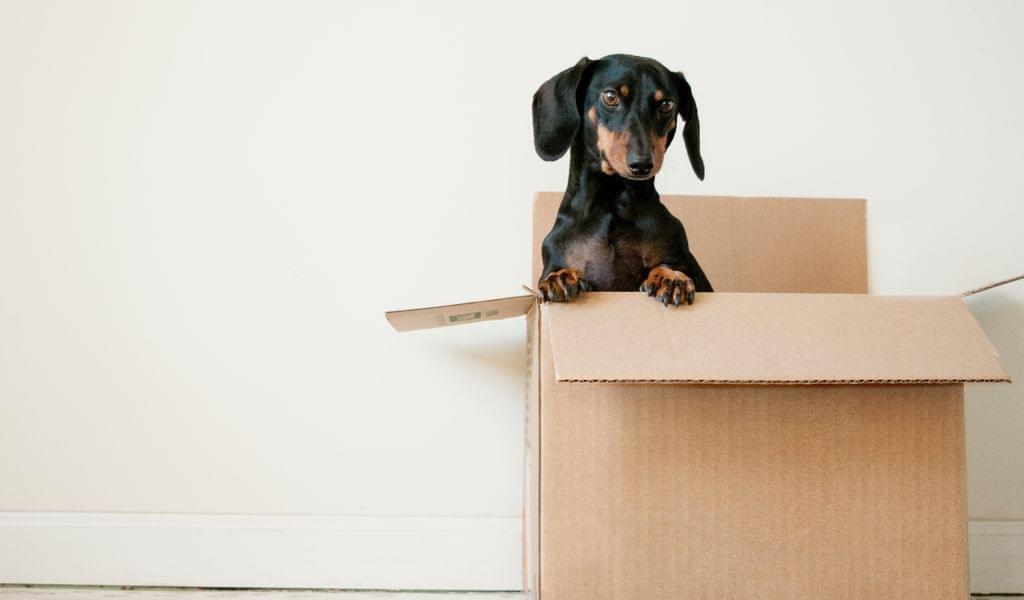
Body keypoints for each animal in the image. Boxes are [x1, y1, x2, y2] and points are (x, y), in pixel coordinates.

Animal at [536, 52, 712, 303]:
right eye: (610, 97)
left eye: (667, 104)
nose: (642, 164)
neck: (613, 202)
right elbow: (557, 271)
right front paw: (559, 277)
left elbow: (669, 265)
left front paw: (670, 277)